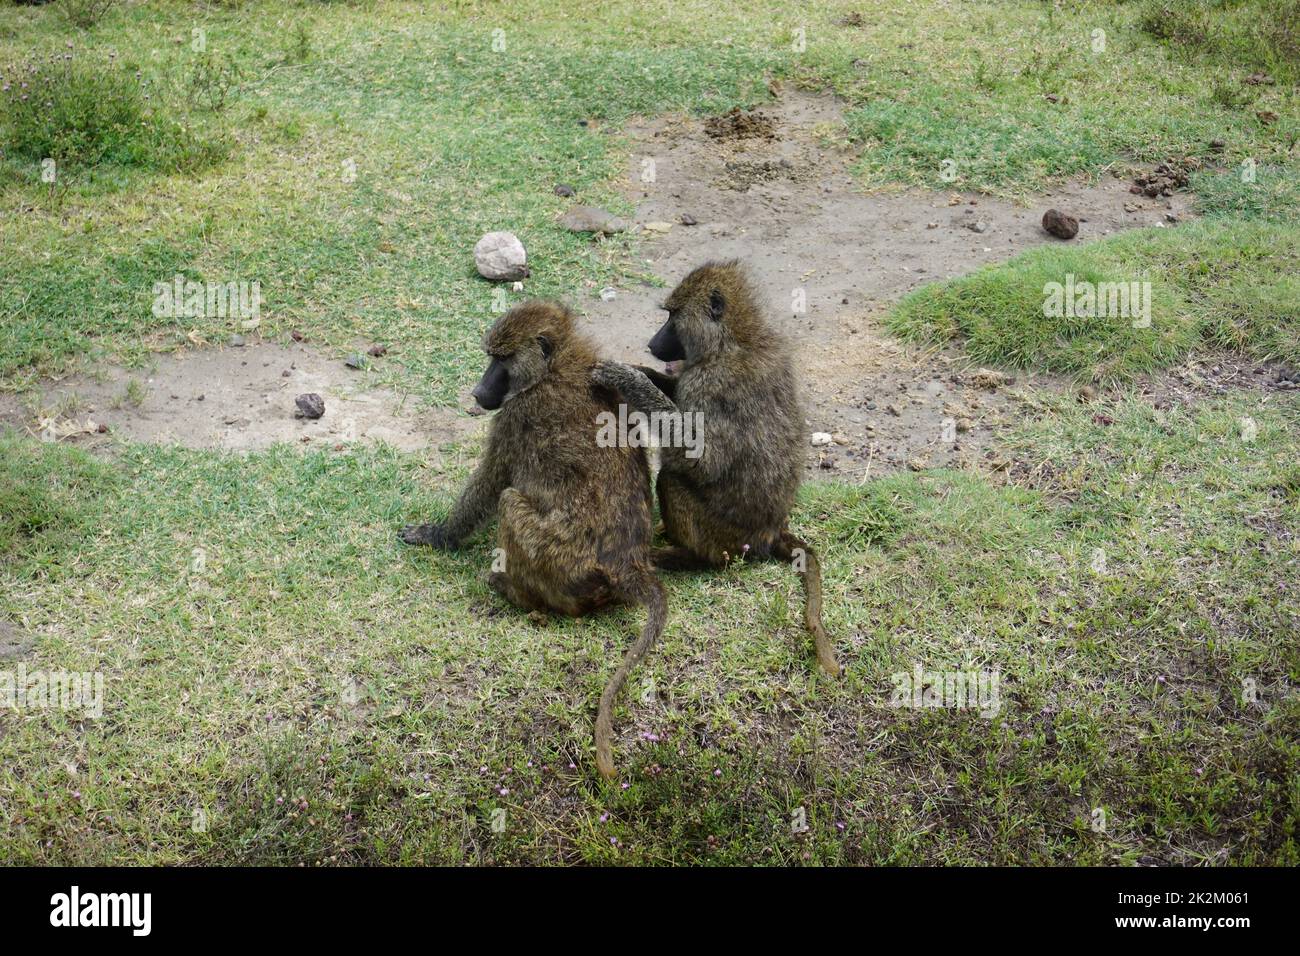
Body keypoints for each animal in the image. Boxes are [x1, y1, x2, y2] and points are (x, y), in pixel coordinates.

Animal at [400, 300, 667, 778]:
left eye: (500, 361)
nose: (477, 392)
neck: (556, 368)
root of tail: (628, 564)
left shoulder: (516, 415)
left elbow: (490, 484)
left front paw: (436, 536)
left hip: (558, 558)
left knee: (509, 501)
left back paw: (511, 590)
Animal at [592, 260, 840, 677]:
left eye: (673, 316)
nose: (651, 344)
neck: (733, 339)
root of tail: (772, 530)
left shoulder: (709, 383)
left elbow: (700, 458)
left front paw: (626, 377)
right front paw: (638, 370)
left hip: (725, 536)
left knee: (671, 480)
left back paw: (686, 557)